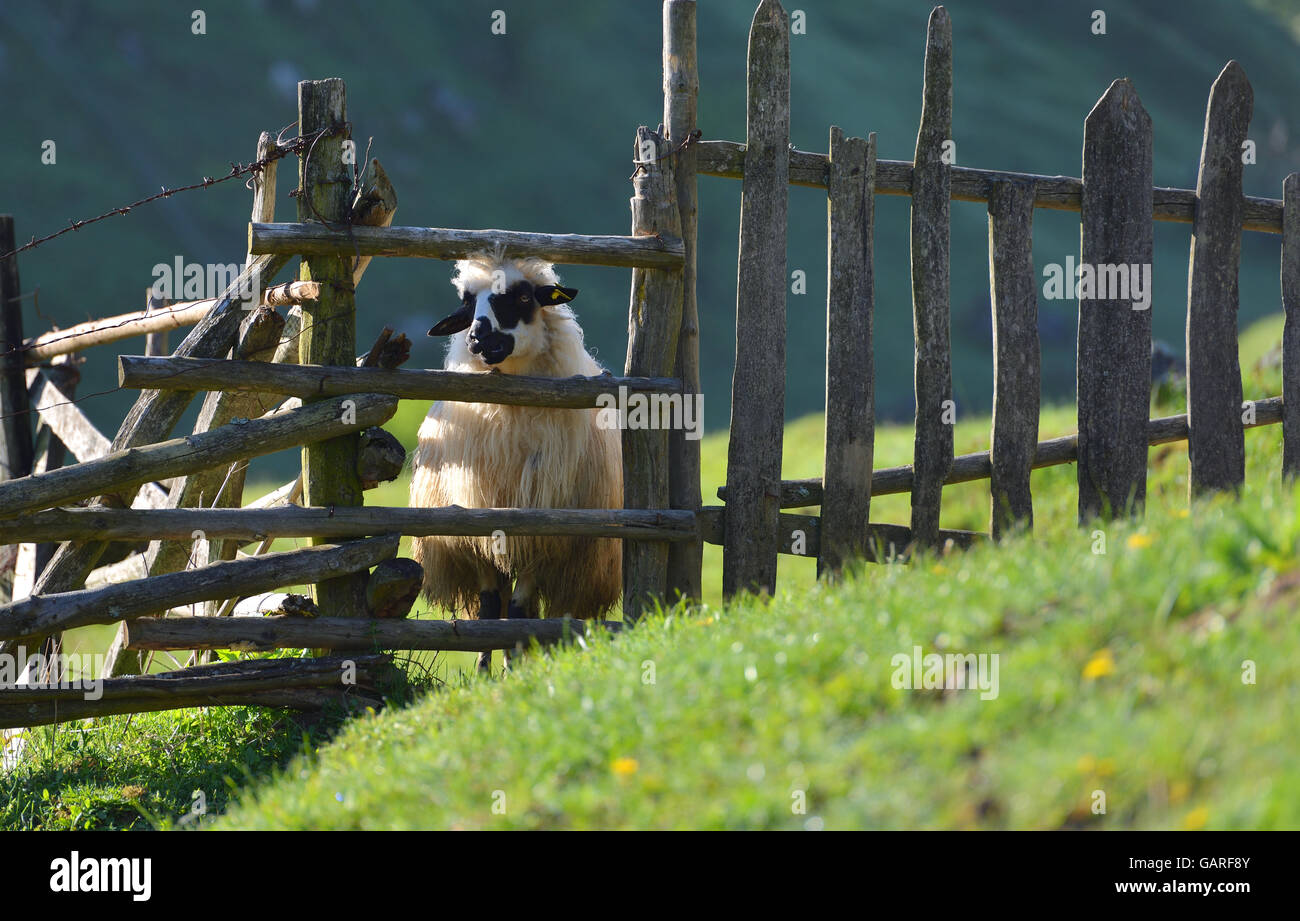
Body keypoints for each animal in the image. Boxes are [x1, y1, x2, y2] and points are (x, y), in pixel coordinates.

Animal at [410, 251, 622, 669]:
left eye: (523, 297)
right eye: (466, 303)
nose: (478, 338)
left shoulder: (541, 538)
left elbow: (519, 611)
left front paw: (514, 669)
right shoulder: (473, 535)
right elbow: (491, 610)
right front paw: (482, 671)